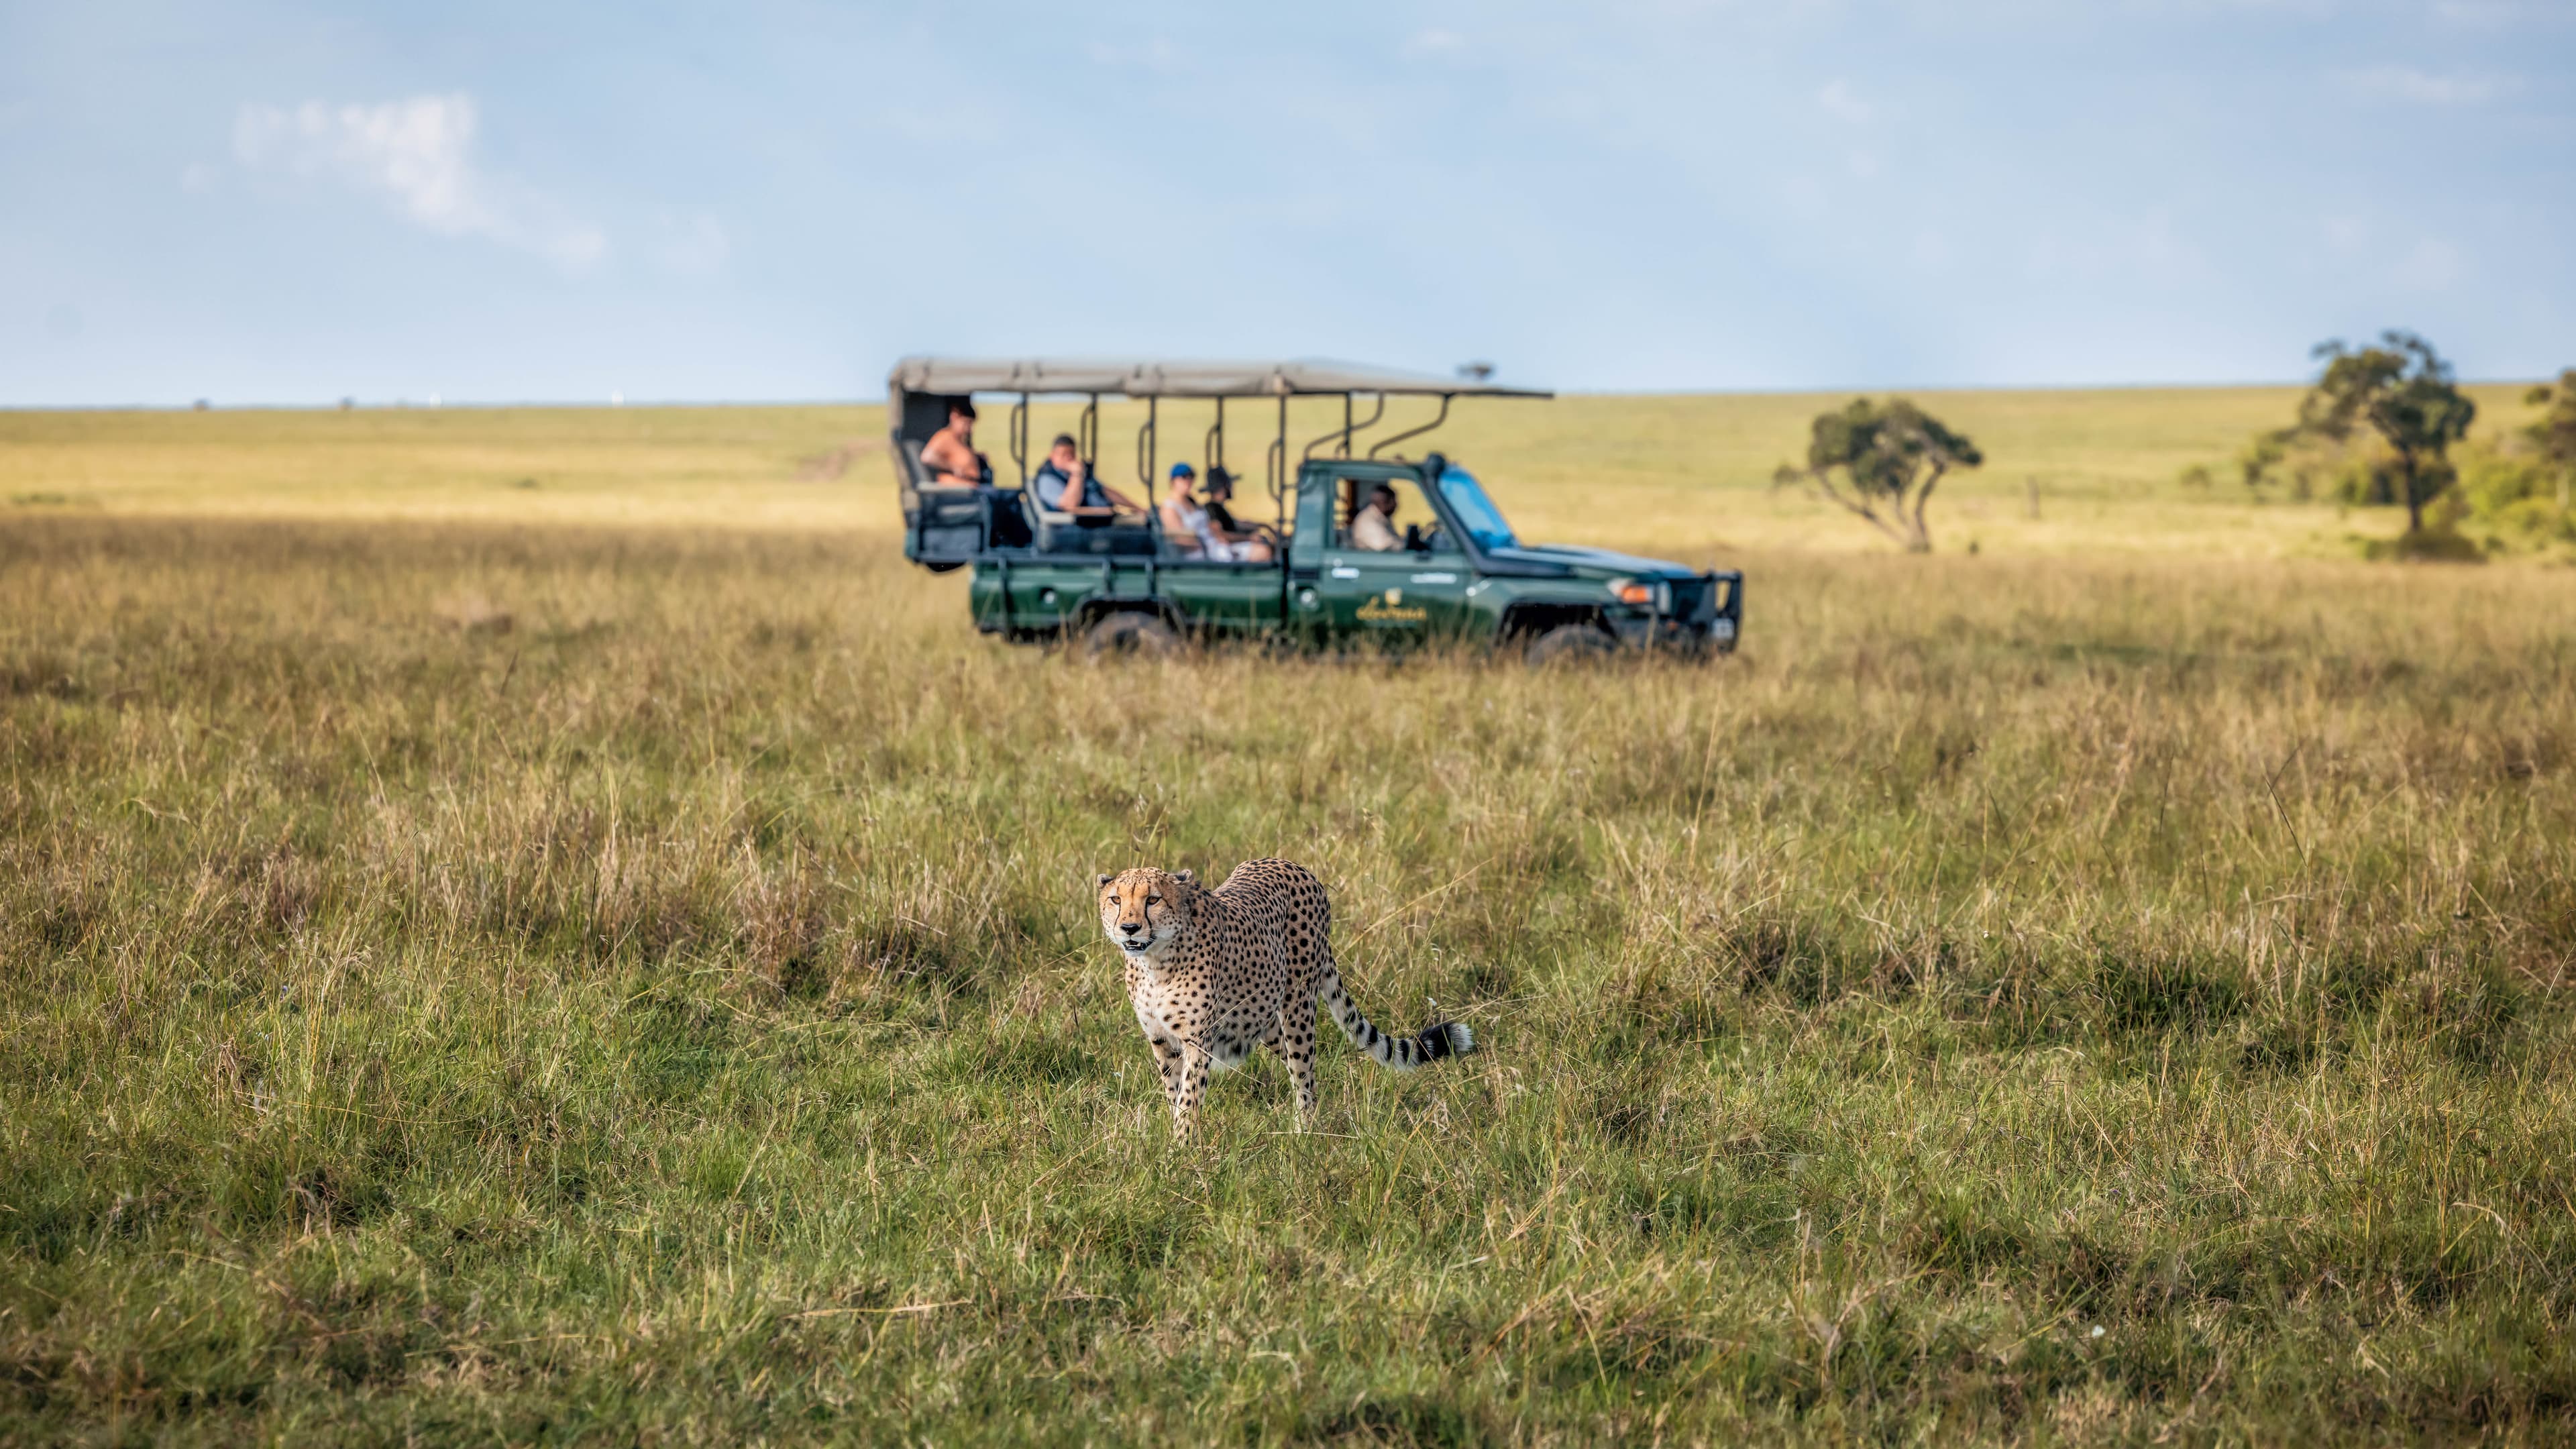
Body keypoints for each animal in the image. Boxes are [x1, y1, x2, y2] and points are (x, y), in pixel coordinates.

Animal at [1097, 851, 1483, 1134]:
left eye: (1153, 900)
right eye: (1116, 899)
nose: (1129, 928)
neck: (1155, 962)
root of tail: (1291, 864)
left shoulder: (1198, 1039)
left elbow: (1189, 1097)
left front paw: (1183, 1150)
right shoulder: (1160, 1039)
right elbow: (1173, 1091)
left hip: (1298, 1006)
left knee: (1305, 1072)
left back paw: (1304, 1136)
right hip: (1265, 1019)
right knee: (1301, 1068)